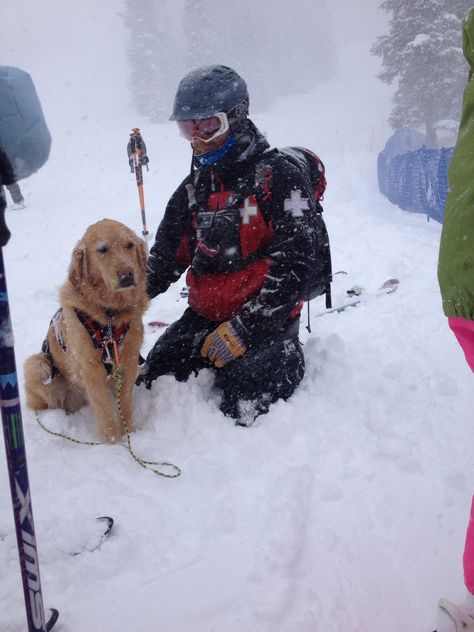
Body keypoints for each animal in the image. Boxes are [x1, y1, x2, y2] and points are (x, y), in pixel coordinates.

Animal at [25, 220, 147, 442]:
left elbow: (124, 406)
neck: (109, 316)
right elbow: (106, 413)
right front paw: (114, 443)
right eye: (102, 249)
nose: (127, 273)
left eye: (129, 245)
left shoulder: (128, 362)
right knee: (45, 404)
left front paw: (130, 435)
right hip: (37, 365)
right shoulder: (91, 370)